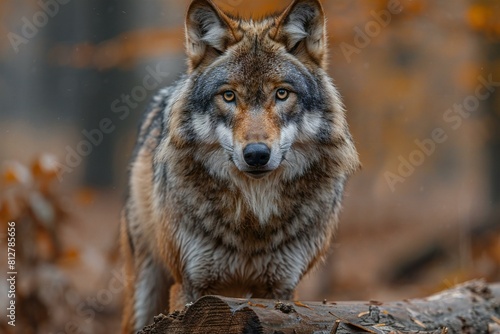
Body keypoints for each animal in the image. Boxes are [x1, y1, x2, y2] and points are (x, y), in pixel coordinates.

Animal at [121, 0, 360, 332]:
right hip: (146, 287)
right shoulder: (191, 283)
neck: (253, 215)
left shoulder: (280, 288)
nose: (256, 154)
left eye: (282, 93)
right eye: (229, 95)